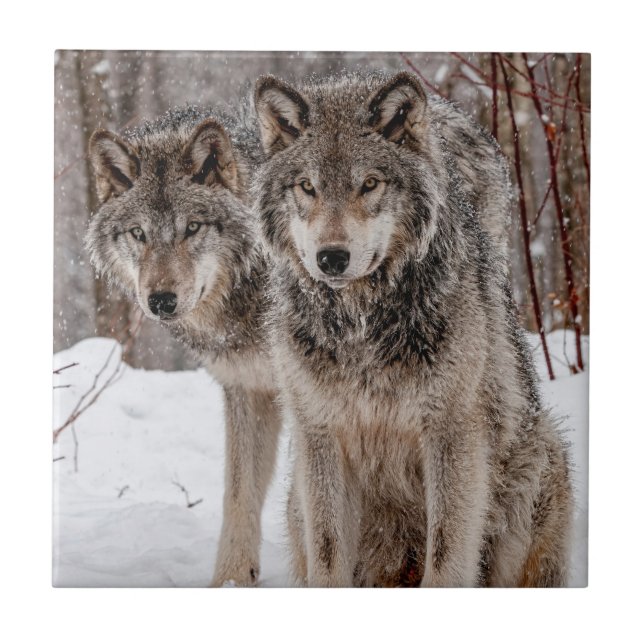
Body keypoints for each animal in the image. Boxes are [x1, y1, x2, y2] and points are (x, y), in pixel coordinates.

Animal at [86, 104, 281, 587]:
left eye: (191, 228)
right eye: (138, 233)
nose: (160, 300)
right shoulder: (248, 388)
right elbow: (239, 495)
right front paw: (231, 580)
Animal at [253, 71, 572, 587]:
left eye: (369, 184)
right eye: (307, 187)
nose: (331, 257)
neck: (361, 326)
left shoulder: (451, 433)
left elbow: (446, 558)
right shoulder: (320, 436)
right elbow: (328, 559)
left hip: (537, 459)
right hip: (298, 498)